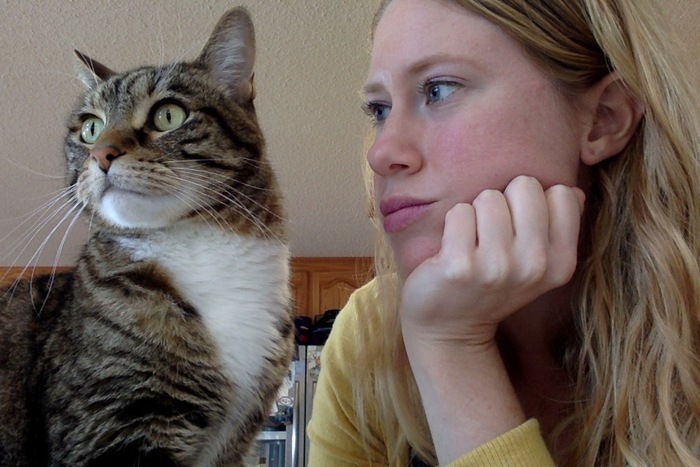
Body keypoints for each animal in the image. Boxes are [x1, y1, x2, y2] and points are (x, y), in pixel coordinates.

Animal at [0, 7, 293, 467]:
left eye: (168, 115)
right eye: (90, 128)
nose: (101, 153)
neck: (199, 245)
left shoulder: (234, 440)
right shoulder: (111, 423)